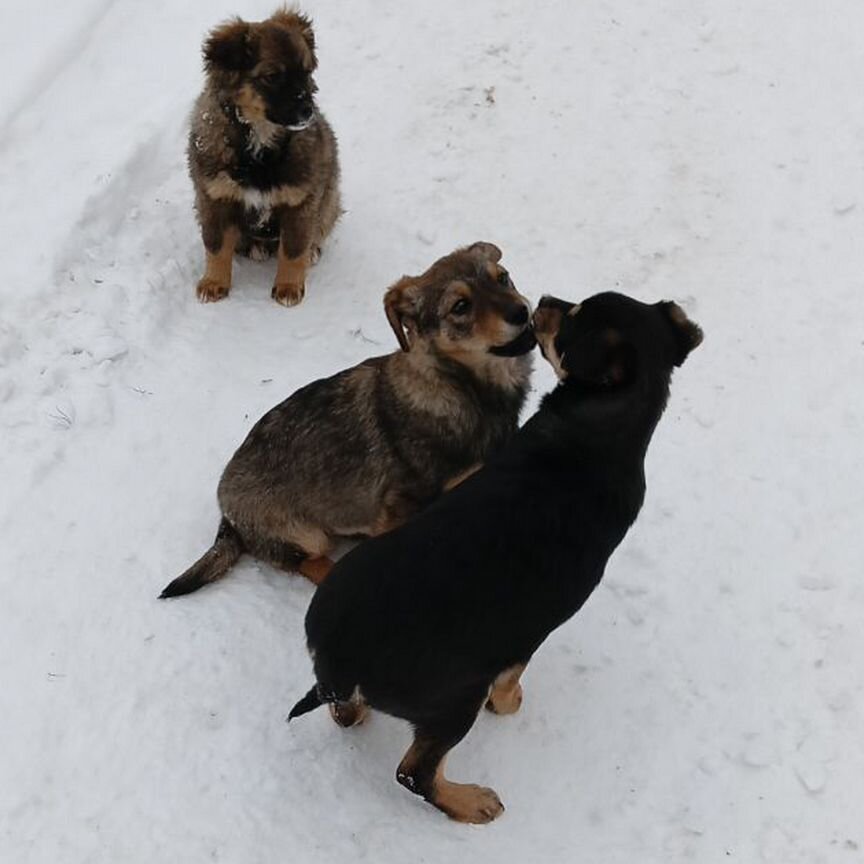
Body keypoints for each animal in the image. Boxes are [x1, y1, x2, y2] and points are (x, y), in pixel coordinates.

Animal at [158, 240, 532, 596]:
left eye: (503, 278)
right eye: (460, 306)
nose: (522, 311)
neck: (459, 388)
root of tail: (227, 516)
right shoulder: (399, 508)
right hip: (304, 535)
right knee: (311, 562)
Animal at [187, 5, 340, 304]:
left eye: (307, 72)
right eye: (272, 77)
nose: (308, 112)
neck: (259, 138)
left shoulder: (301, 201)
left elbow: (293, 249)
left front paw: (289, 287)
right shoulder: (213, 198)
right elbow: (216, 246)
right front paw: (214, 282)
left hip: (329, 198)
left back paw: (312, 251)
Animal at [288, 290, 704, 824]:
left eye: (571, 317)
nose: (541, 300)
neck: (603, 429)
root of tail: (342, 654)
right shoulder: (524, 634)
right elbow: (511, 679)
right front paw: (510, 704)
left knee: (350, 717)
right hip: (457, 697)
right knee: (414, 772)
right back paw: (473, 802)